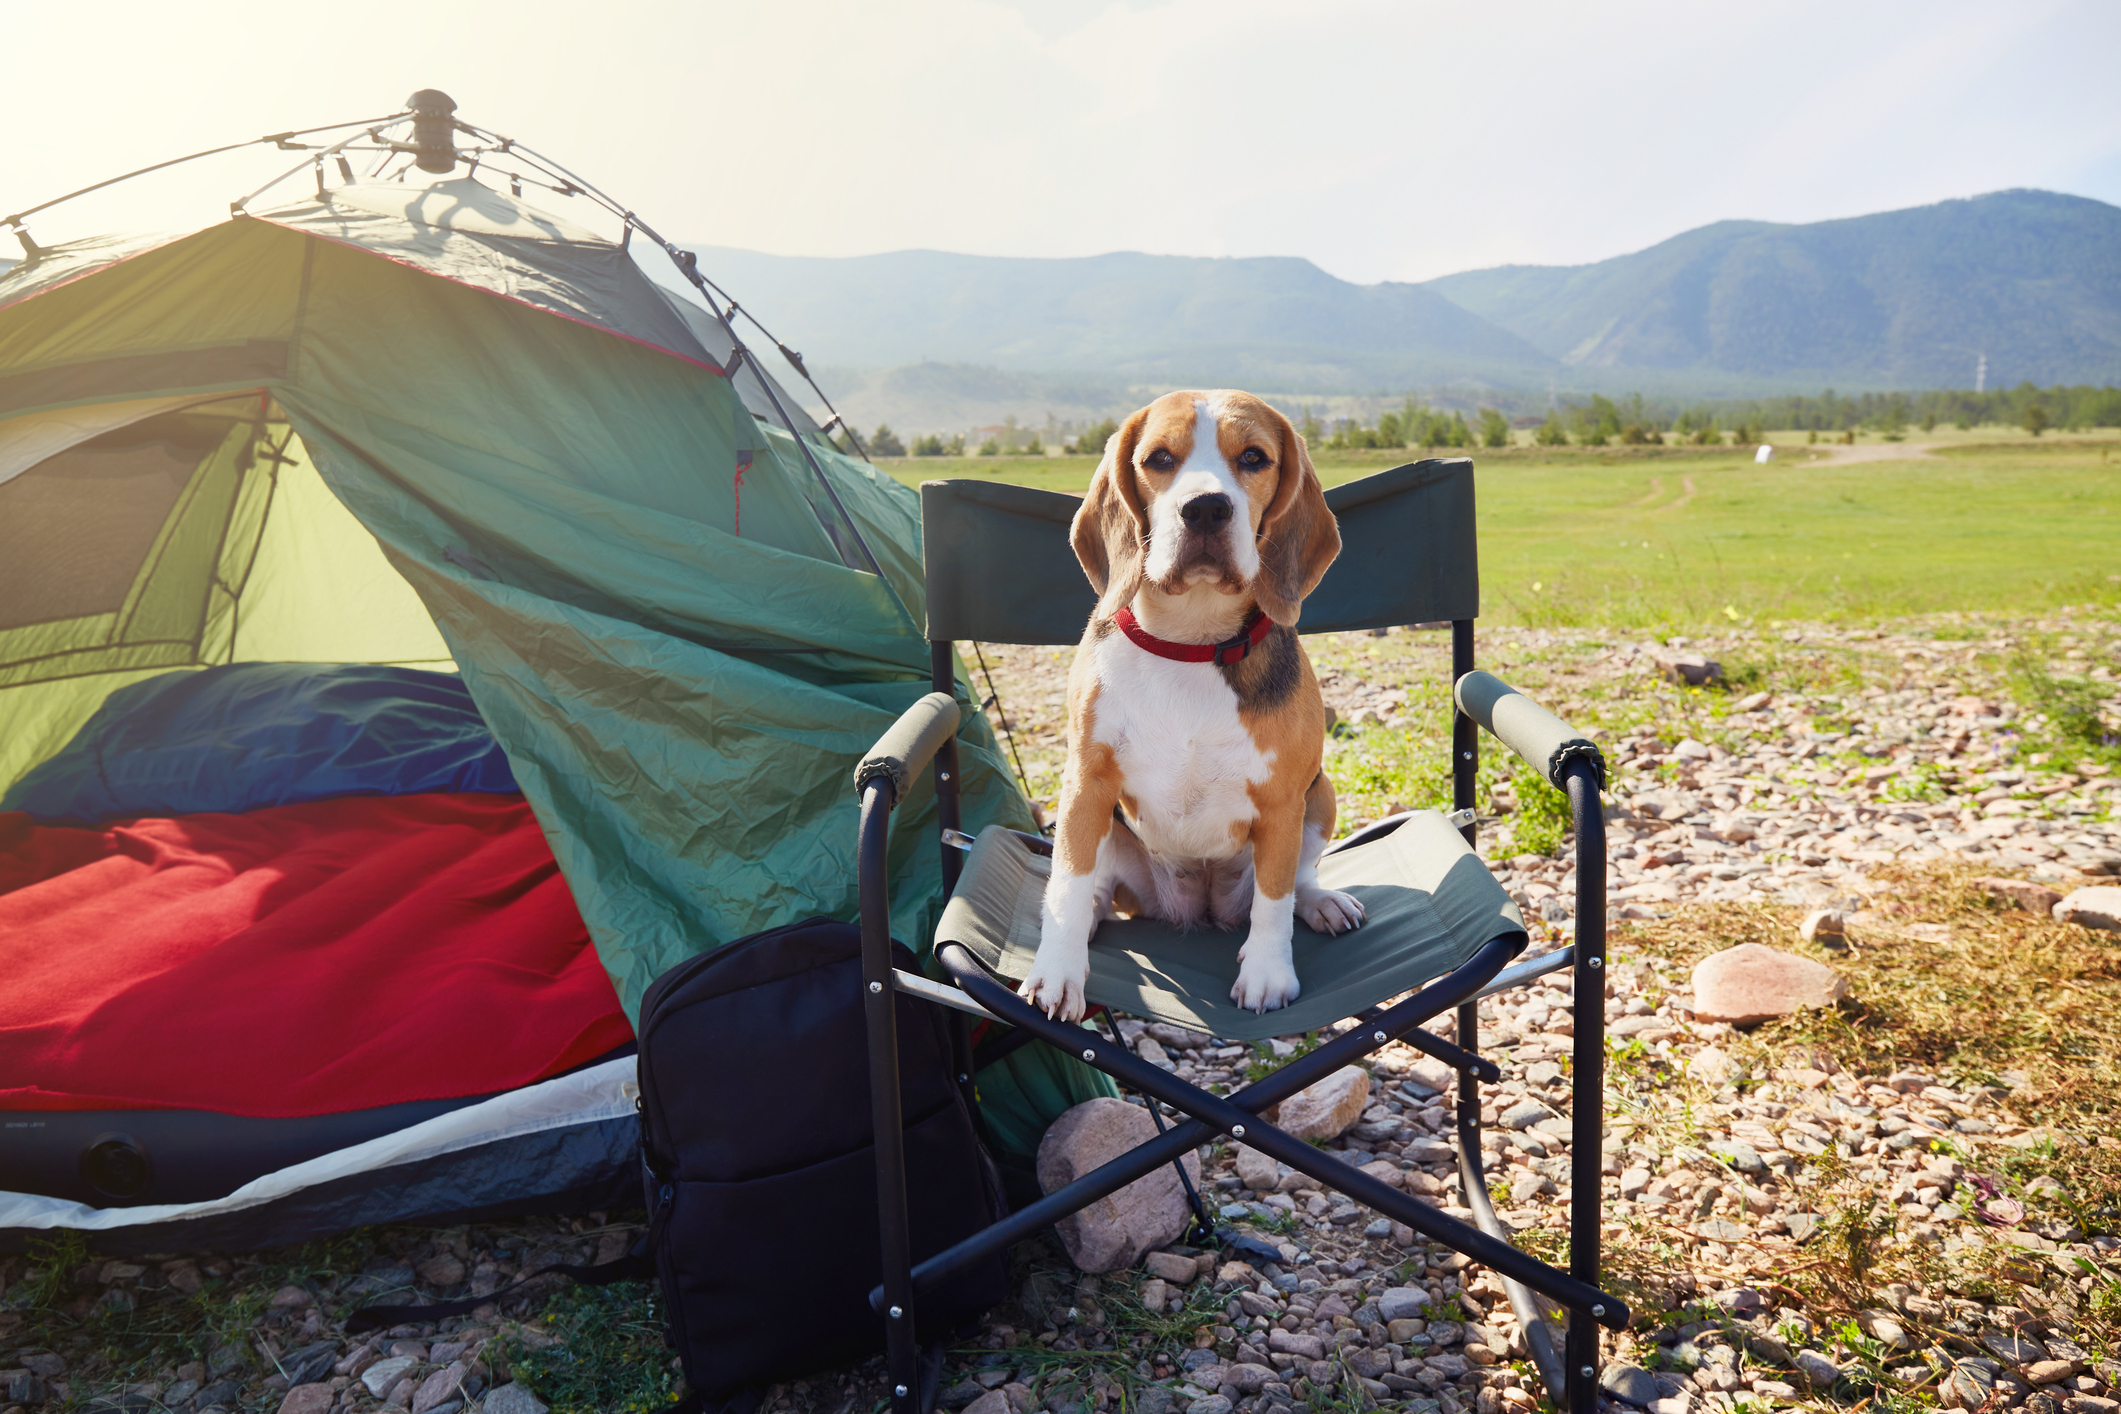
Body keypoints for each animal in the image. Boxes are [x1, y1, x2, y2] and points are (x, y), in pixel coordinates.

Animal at [1018, 392, 1365, 1021]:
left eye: (1253, 457)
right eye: (1159, 457)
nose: (1205, 509)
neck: (1191, 642)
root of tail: (1195, 908)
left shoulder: (1283, 801)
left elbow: (1274, 901)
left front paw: (1268, 974)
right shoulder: (1086, 781)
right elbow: (1070, 882)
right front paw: (1057, 972)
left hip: (1319, 794)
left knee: (1295, 882)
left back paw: (1320, 901)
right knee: (1094, 890)